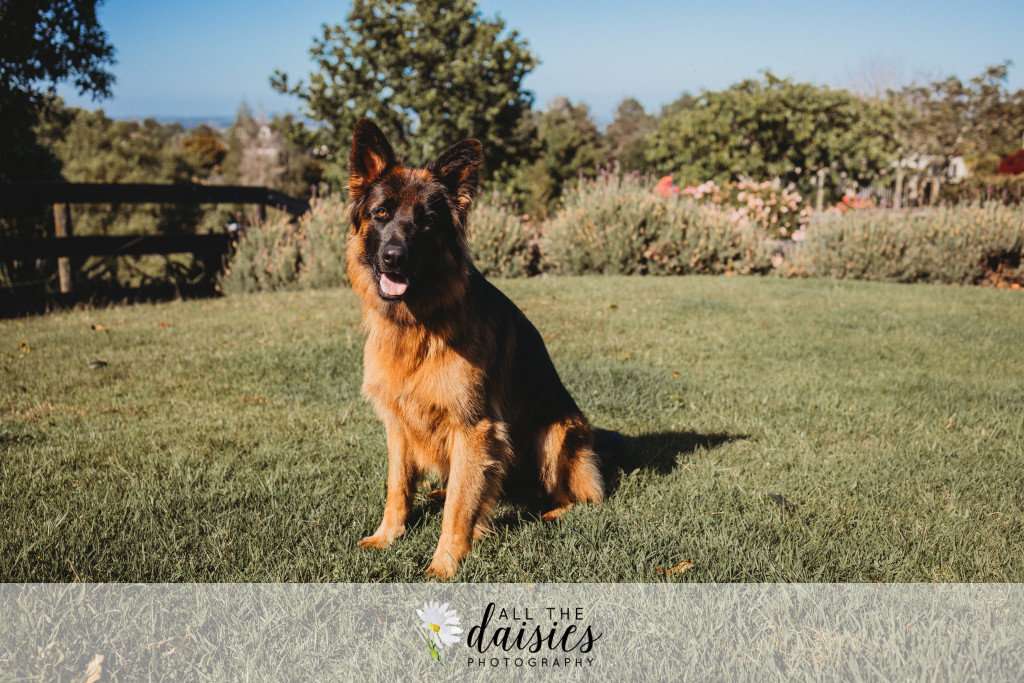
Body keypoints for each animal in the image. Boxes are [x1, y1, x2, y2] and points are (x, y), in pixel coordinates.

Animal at [346, 119, 606, 579]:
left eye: (427, 221)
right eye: (381, 213)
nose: (394, 258)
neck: (419, 326)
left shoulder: (474, 428)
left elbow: (459, 509)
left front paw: (444, 565)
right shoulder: (398, 423)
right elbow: (397, 487)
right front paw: (387, 536)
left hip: (553, 434)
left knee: (580, 498)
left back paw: (554, 514)